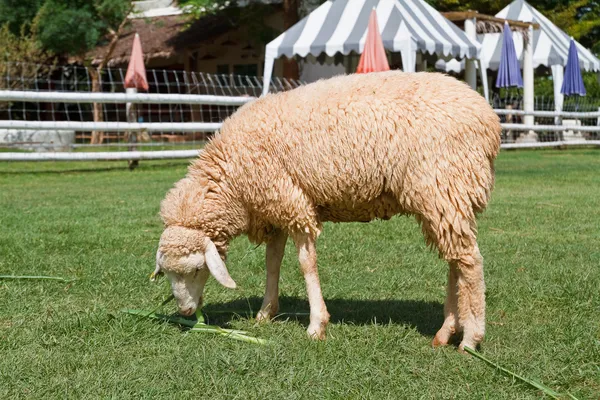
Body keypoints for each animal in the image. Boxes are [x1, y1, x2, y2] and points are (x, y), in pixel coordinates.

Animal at [152, 71, 500, 350]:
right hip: (444, 197)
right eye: (168, 273)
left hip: (442, 185)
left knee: (470, 262)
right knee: (455, 260)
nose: (186, 313)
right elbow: (272, 263)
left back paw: (471, 339)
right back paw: (446, 332)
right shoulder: (273, 208)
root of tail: (489, 121)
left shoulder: (290, 200)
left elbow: (306, 264)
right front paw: (266, 312)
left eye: (197, 269)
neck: (230, 180)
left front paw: (316, 324)